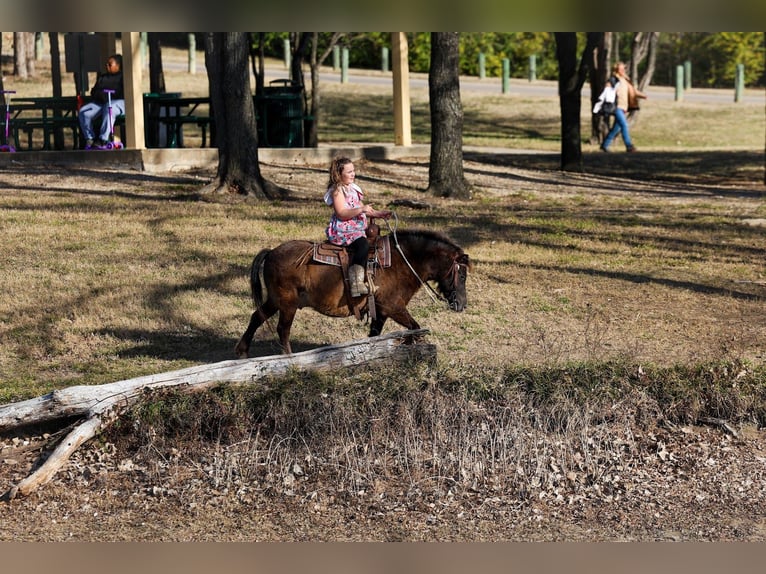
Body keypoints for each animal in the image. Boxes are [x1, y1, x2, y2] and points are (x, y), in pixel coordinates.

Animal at [234, 229, 471, 356]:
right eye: (461, 275)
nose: (461, 304)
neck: (402, 262)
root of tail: (271, 252)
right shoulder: (393, 307)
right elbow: (415, 328)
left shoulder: (381, 312)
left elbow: (375, 335)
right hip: (287, 303)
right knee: (282, 329)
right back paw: (288, 357)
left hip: (276, 300)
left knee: (257, 317)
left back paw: (243, 351)